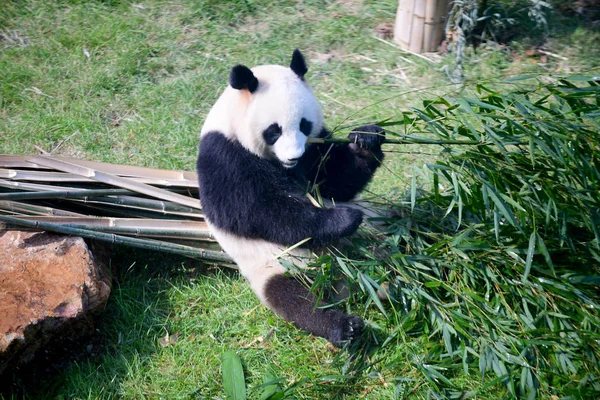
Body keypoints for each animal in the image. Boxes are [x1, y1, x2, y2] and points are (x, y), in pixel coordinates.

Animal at [197, 49, 384, 346]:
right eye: (274, 130)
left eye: (304, 125)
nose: (293, 156)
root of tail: (344, 282)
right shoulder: (225, 155)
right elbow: (259, 211)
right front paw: (343, 218)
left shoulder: (316, 146)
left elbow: (336, 182)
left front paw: (366, 139)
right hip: (281, 267)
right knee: (298, 300)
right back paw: (344, 327)